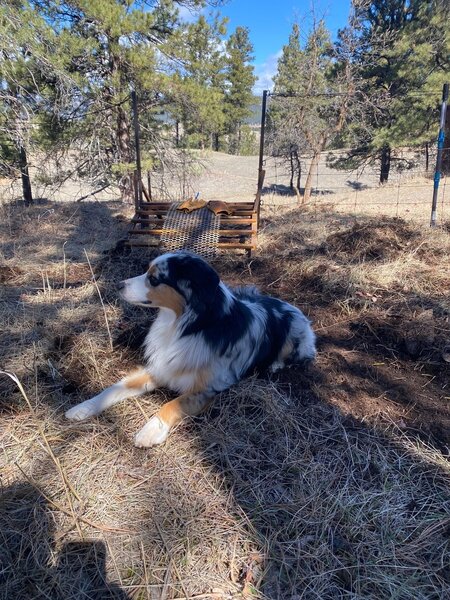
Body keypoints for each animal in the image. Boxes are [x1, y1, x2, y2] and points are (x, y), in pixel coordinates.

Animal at [65, 252, 314, 446]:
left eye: (153, 279)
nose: (118, 285)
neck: (186, 326)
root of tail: (289, 305)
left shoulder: (209, 388)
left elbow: (172, 403)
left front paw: (151, 430)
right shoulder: (160, 368)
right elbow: (115, 388)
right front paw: (84, 407)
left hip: (296, 334)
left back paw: (275, 365)